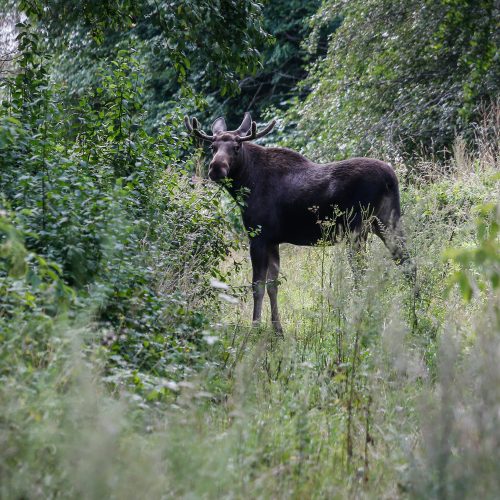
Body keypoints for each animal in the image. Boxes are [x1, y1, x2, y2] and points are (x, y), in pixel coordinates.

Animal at [184, 111, 414, 334]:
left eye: (236, 147)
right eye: (213, 147)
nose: (216, 168)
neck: (247, 184)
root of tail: (390, 178)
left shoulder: (258, 236)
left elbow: (257, 286)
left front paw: (255, 328)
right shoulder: (273, 240)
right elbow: (273, 285)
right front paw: (278, 330)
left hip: (357, 228)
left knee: (363, 272)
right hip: (387, 222)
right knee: (406, 261)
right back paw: (414, 309)